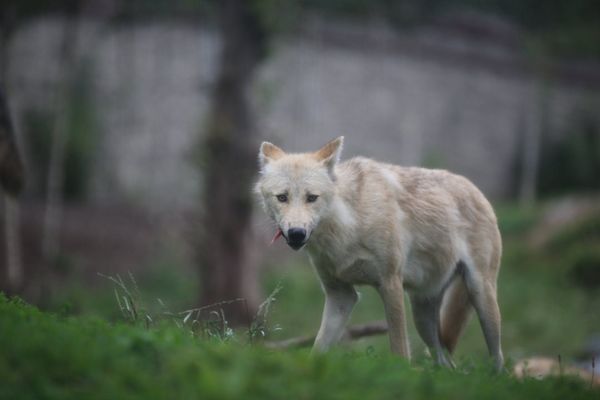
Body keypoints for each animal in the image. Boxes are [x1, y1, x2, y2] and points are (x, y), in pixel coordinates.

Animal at [253, 138, 502, 372]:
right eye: (282, 197)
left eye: (312, 197)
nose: (296, 233)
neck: (348, 224)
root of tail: (476, 189)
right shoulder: (341, 294)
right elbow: (318, 348)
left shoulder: (390, 284)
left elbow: (399, 349)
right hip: (422, 316)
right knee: (446, 363)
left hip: (481, 296)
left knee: (498, 359)